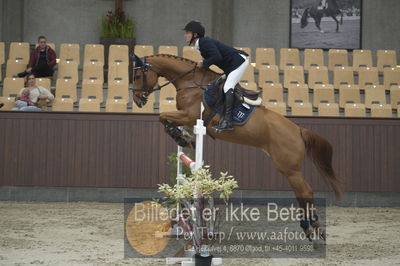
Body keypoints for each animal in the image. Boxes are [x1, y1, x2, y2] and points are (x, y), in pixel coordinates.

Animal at [133, 53, 342, 239]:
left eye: (137, 76)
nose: (137, 100)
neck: (190, 82)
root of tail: (298, 130)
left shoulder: (190, 116)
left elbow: (162, 116)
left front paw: (179, 136)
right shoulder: (188, 119)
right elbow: (169, 122)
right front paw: (184, 137)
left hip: (289, 168)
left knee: (305, 191)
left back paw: (312, 226)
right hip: (288, 168)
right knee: (302, 193)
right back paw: (310, 228)